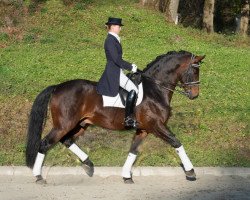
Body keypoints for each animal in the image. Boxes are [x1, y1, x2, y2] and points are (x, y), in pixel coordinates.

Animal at [25, 50, 205, 184]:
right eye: (195, 70)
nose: (195, 95)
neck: (155, 89)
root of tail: (58, 87)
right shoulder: (156, 125)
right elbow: (176, 142)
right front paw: (191, 172)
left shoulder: (143, 129)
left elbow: (133, 150)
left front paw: (126, 176)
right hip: (64, 125)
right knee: (45, 143)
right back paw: (39, 176)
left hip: (80, 124)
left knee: (67, 140)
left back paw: (88, 164)